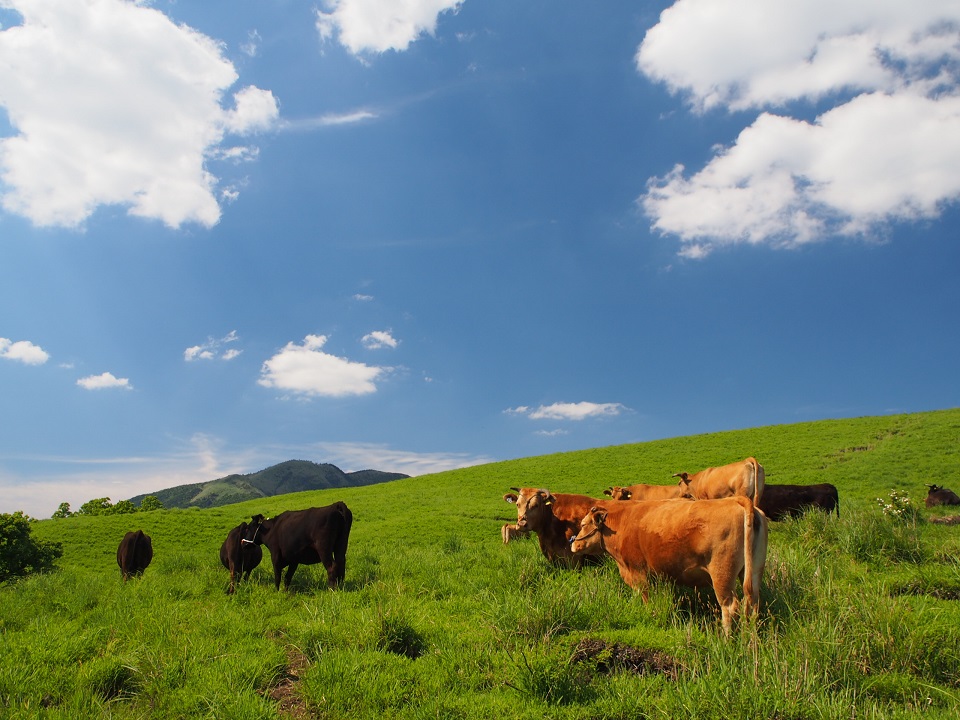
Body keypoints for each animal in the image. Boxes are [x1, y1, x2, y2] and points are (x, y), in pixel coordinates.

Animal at [568, 498, 764, 632]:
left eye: (583, 524)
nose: (574, 544)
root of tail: (737, 500)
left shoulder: (638, 572)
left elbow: (645, 598)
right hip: (753, 571)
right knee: (752, 604)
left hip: (722, 575)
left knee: (730, 607)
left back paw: (727, 640)